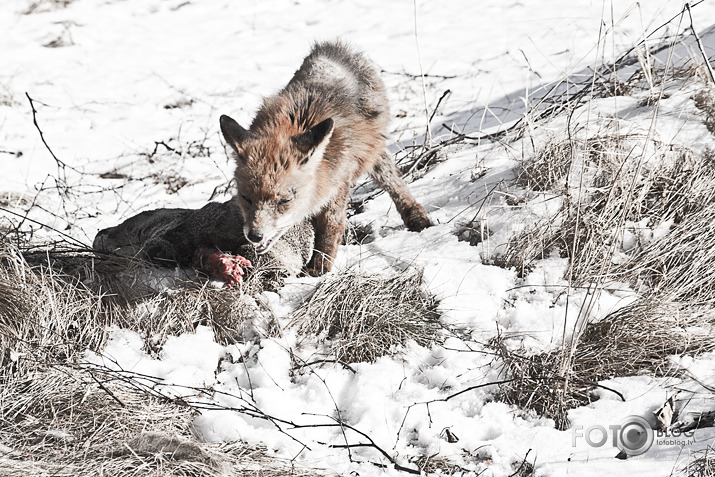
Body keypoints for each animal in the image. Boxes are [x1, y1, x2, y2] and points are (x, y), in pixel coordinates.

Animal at [218, 41, 430, 276]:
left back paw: (417, 218)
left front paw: (320, 268)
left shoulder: (339, 181)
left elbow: (331, 226)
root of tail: (331, 47)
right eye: (246, 198)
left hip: (372, 152)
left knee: (395, 183)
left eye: (284, 201)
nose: (255, 236)